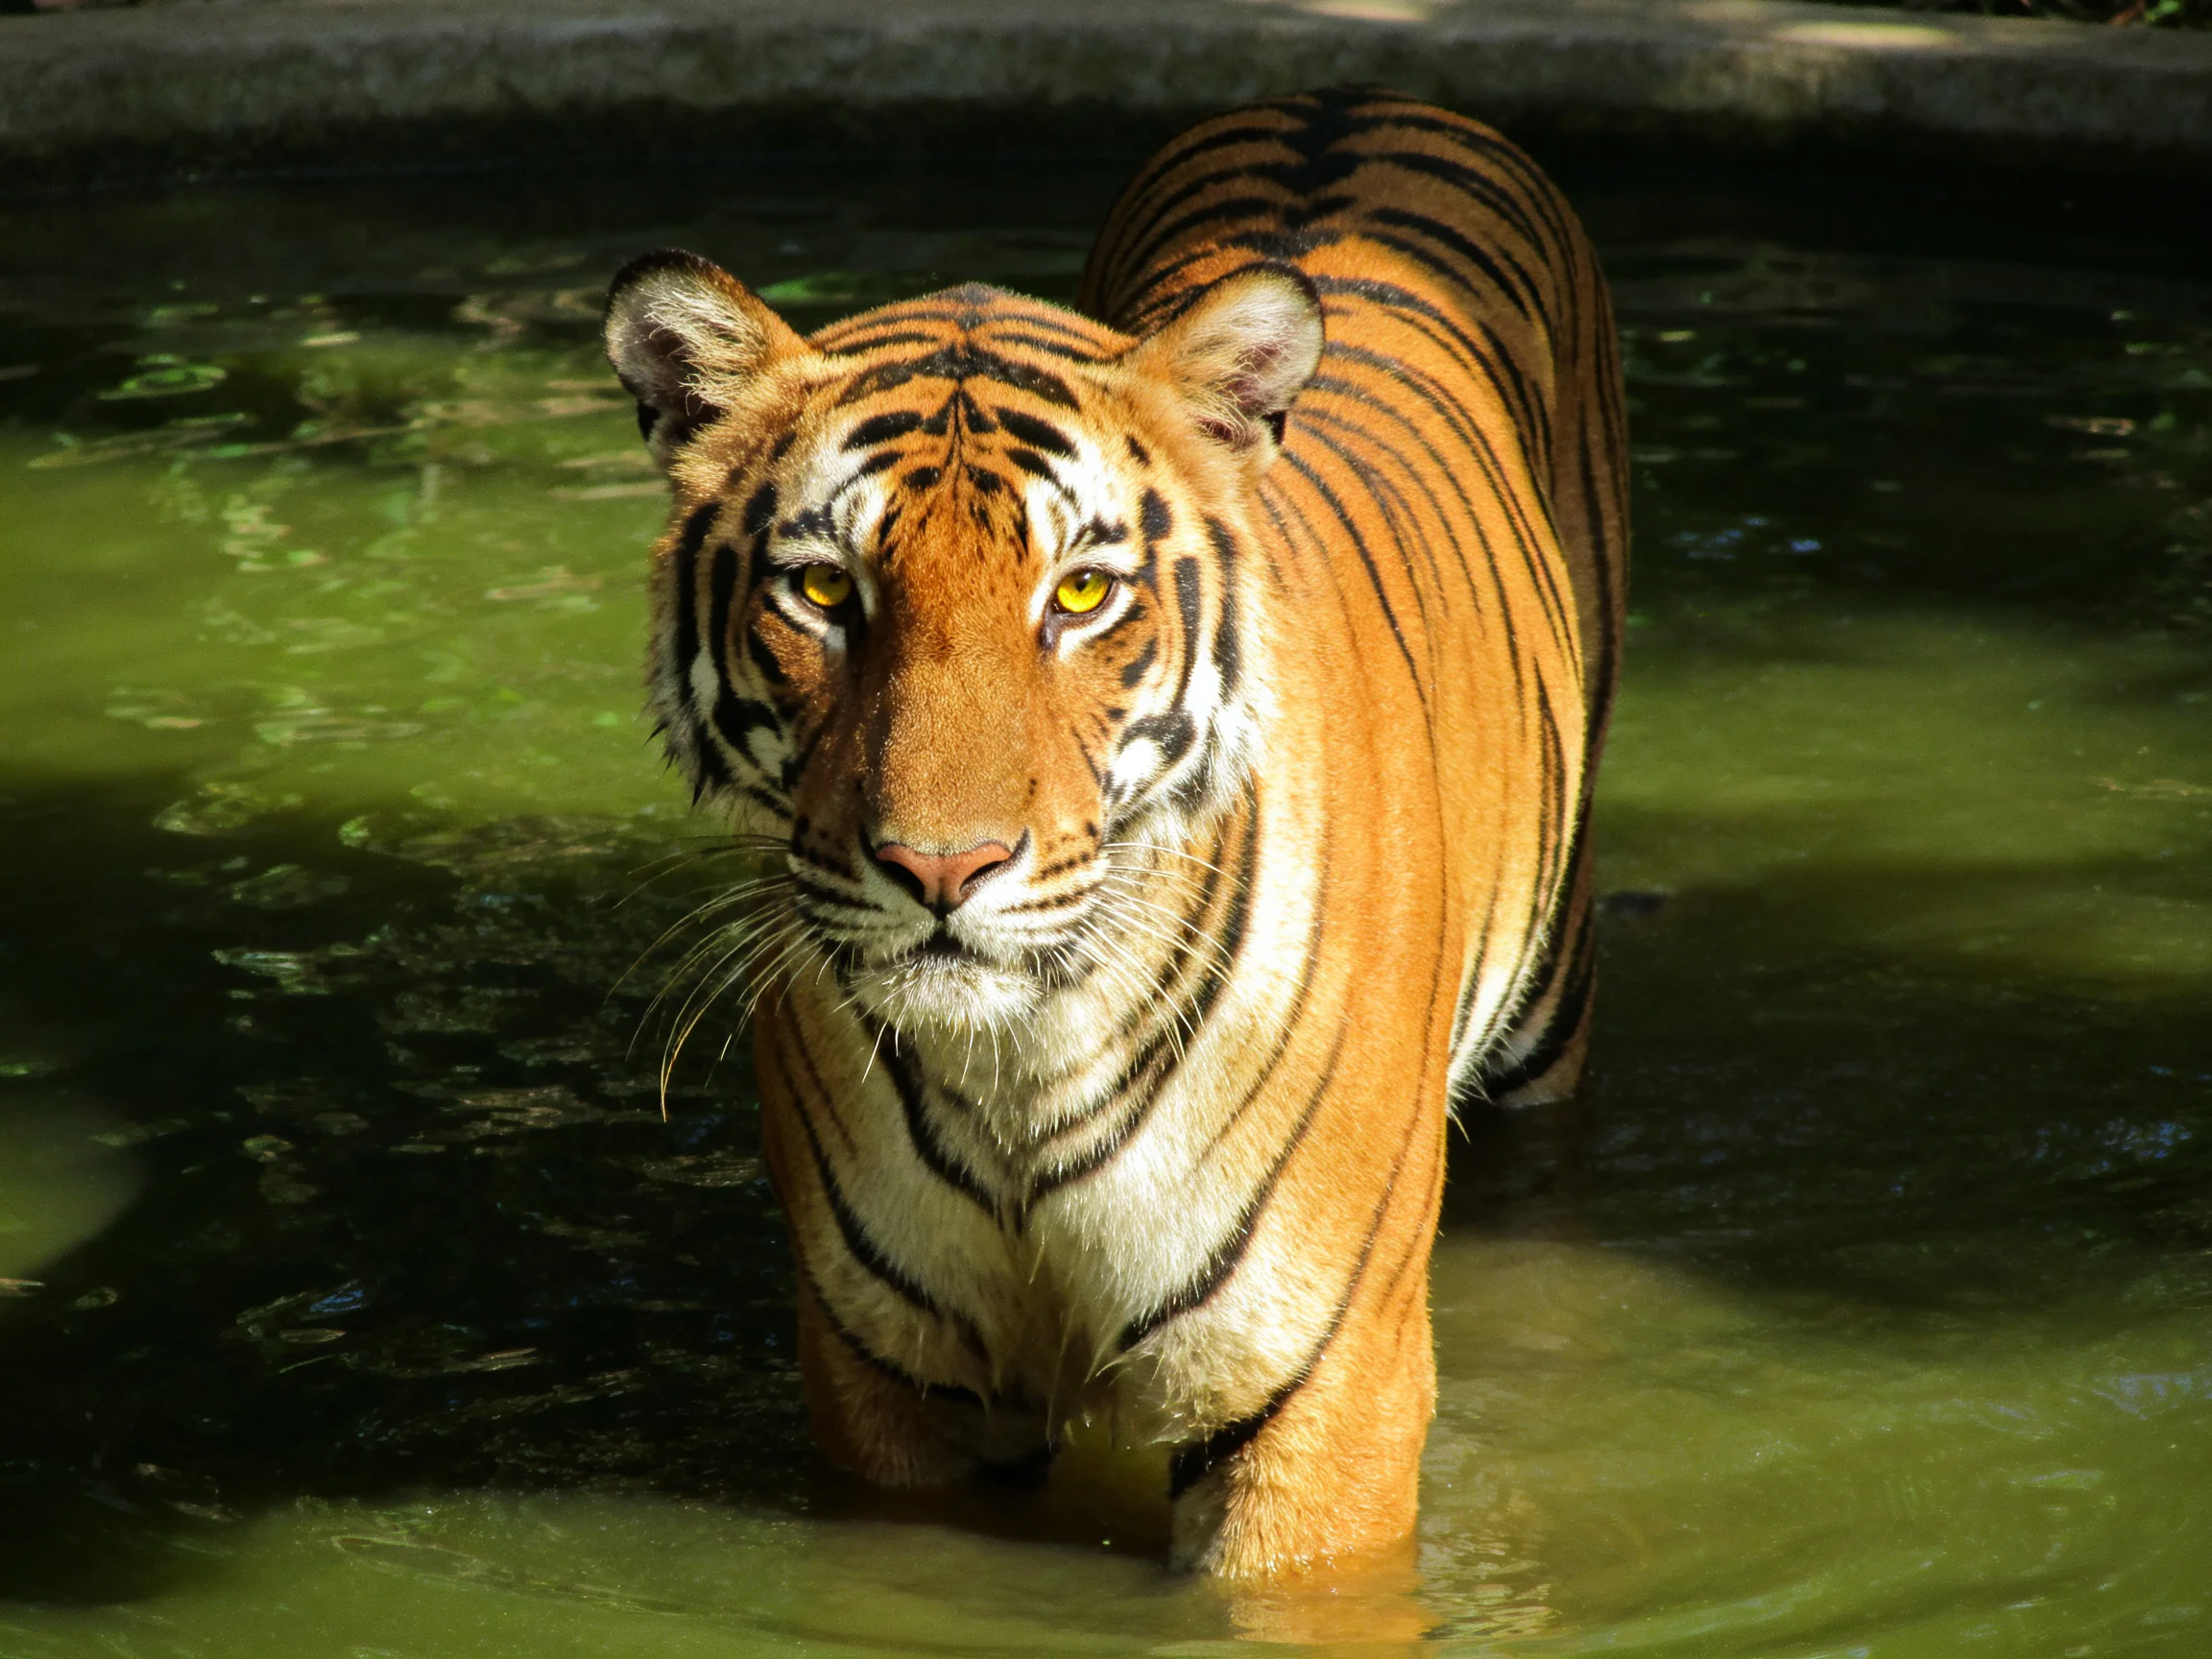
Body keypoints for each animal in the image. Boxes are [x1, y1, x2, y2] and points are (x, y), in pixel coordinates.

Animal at [600, 86, 1628, 1578]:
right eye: (824, 591)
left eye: (1079, 594)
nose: (942, 869)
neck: (1018, 1067)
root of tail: (1352, 96)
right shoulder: (888, 1391)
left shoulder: (1319, 1399)